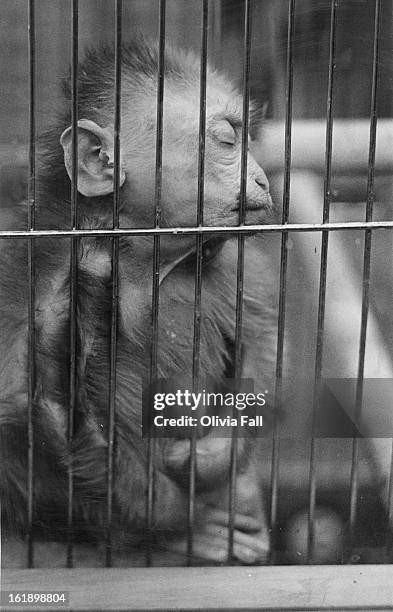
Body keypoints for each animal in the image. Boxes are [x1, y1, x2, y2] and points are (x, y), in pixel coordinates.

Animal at [0, 38, 278, 564]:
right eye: (227, 139)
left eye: (245, 138)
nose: (262, 180)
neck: (145, 254)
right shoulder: (42, 273)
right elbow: (35, 414)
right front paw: (186, 524)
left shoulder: (236, 259)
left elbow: (263, 338)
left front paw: (212, 459)